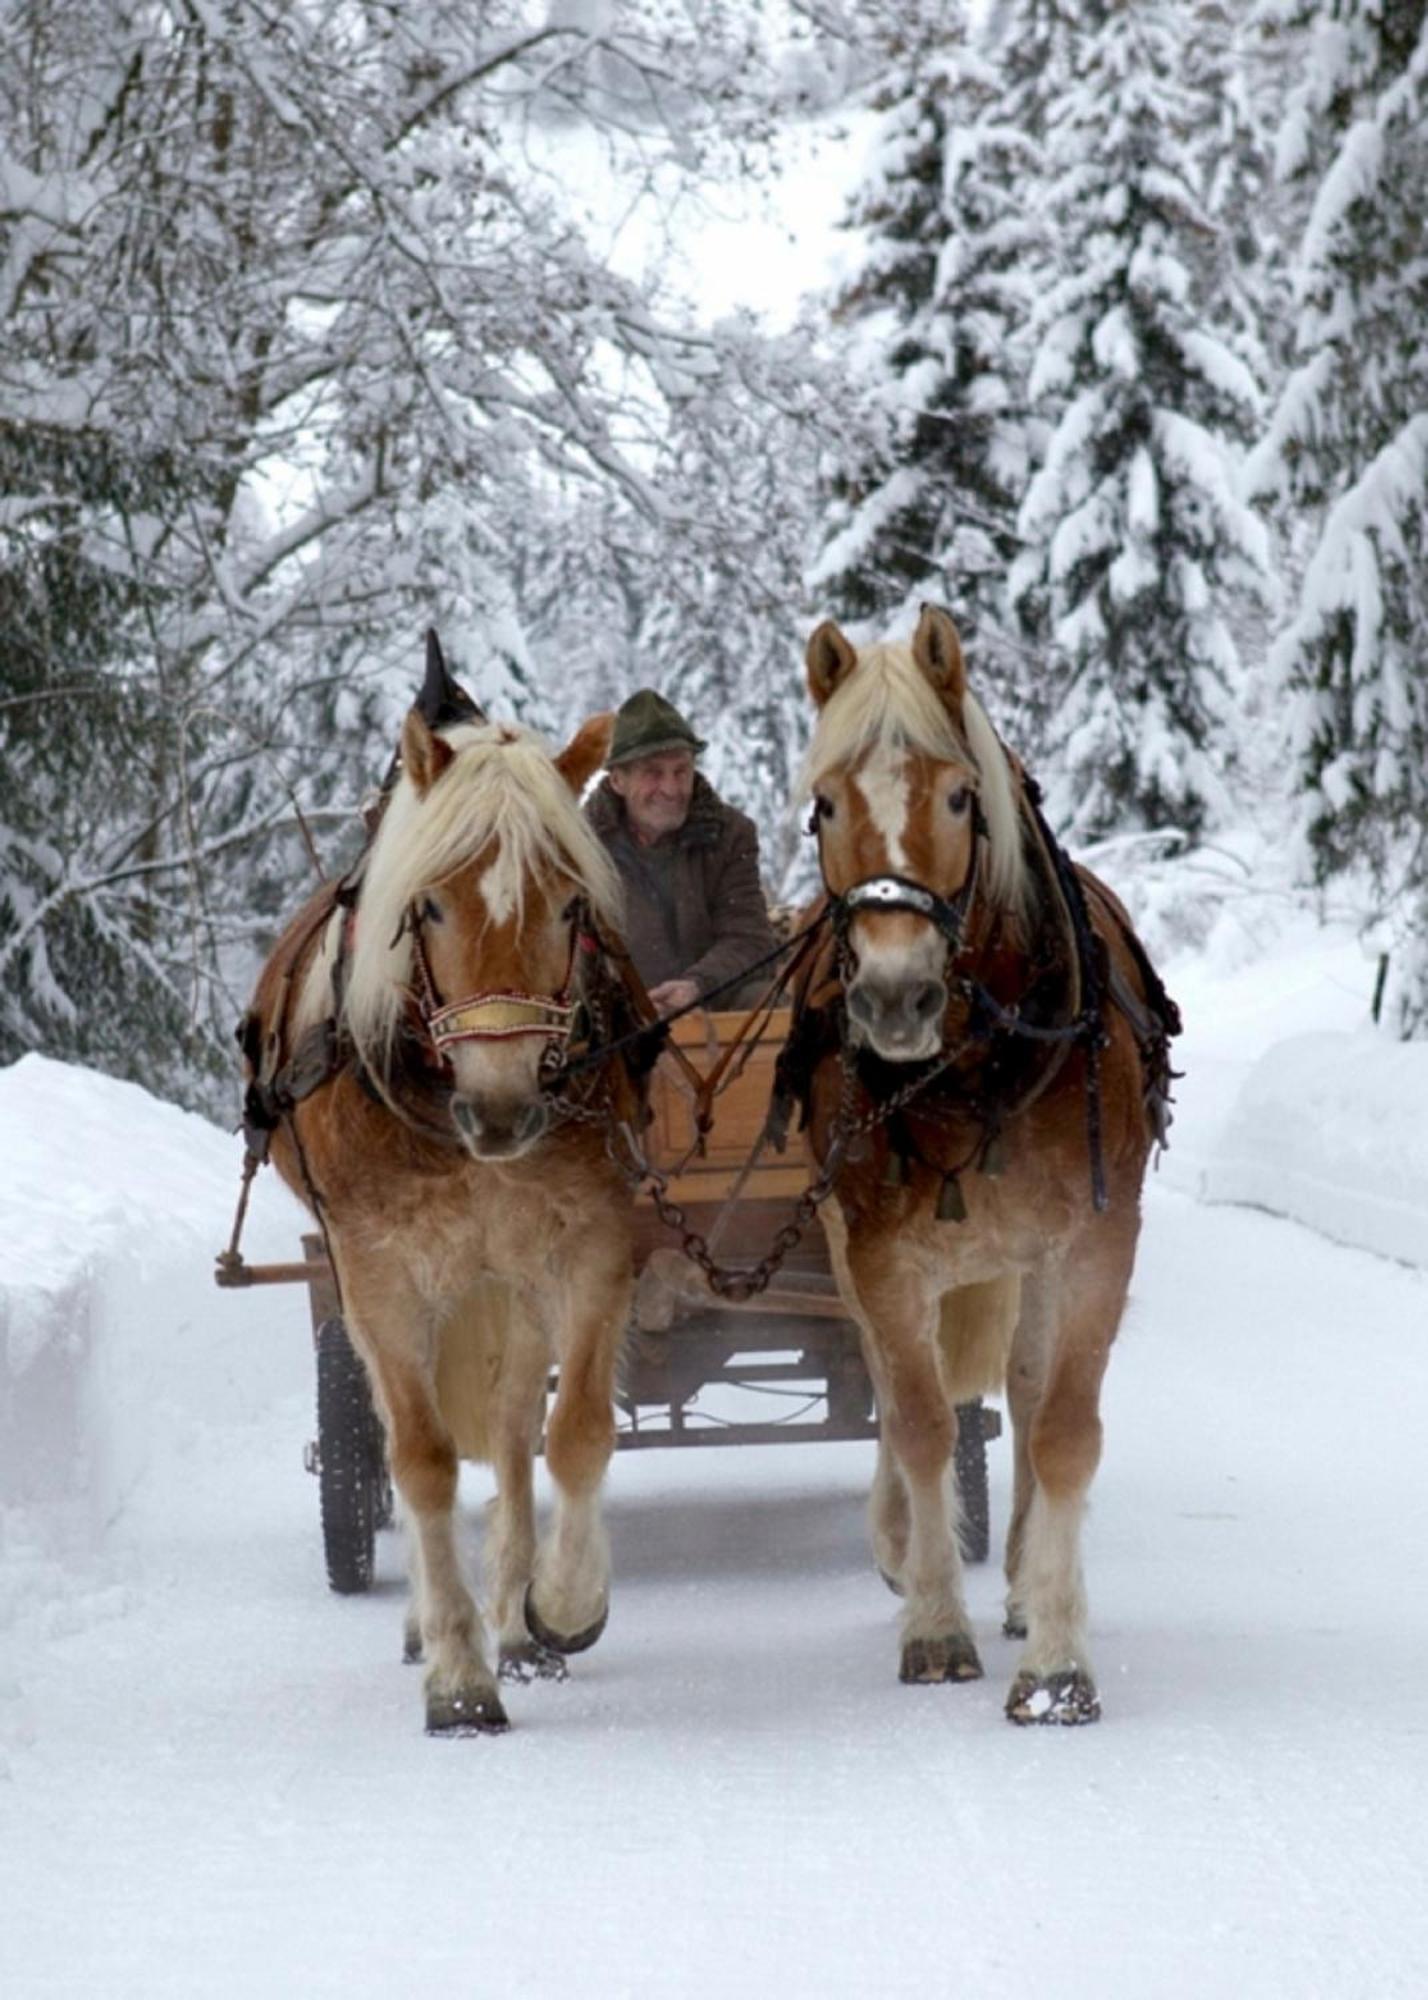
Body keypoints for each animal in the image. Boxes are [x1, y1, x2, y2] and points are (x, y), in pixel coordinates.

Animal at [243, 640, 644, 1736]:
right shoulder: (375, 1272)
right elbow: (417, 1456)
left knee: (509, 1431)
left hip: (506, 1279)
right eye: (425, 906)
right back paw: (437, 1621)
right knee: (405, 1434)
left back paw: (516, 1621)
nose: (501, 1109)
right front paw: (460, 1673)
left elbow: (572, 1432)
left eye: (572, 906)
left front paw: (560, 1605)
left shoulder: (588, 1243)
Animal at [784, 600, 1176, 1728]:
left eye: (960, 795)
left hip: (1030, 1257)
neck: (975, 1065)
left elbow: (1062, 1428)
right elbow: (917, 1420)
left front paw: (1056, 1654)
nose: (894, 996)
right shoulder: (876, 1253)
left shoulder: (1098, 1241)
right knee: (887, 1377)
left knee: (1031, 1387)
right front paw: (931, 1619)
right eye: (825, 803)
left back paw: (1024, 1580)